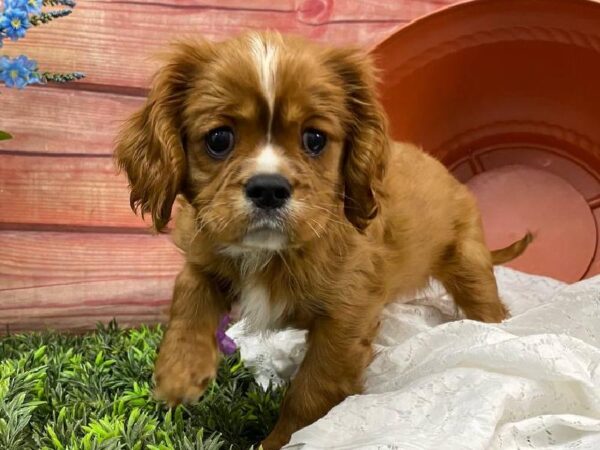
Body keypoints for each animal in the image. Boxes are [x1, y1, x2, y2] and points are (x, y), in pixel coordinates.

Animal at [115, 30, 532, 446]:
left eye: (314, 139)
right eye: (219, 139)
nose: (268, 189)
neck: (271, 254)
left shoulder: (346, 317)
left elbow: (311, 391)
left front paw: (280, 442)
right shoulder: (204, 255)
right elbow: (189, 298)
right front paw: (179, 373)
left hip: (467, 260)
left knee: (486, 302)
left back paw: (496, 333)